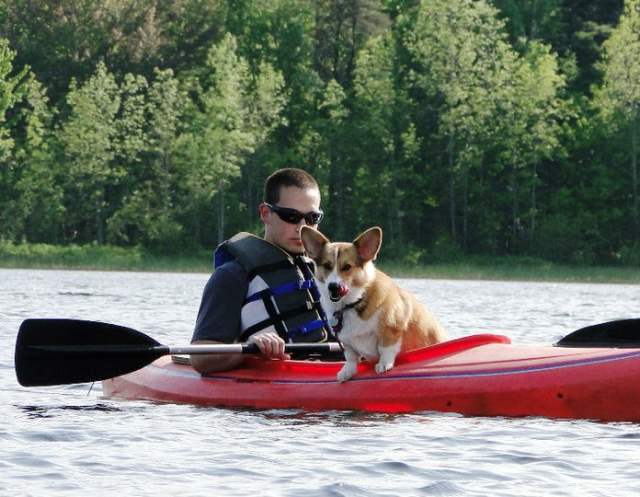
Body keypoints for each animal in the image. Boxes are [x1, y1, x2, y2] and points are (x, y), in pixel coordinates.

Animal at [300, 225, 444, 380]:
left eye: (347, 267)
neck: (351, 303)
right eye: (327, 266)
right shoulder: (347, 342)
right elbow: (350, 357)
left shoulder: (391, 329)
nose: (333, 287)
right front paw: (346, 371)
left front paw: (384, 365)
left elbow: (386, 348)